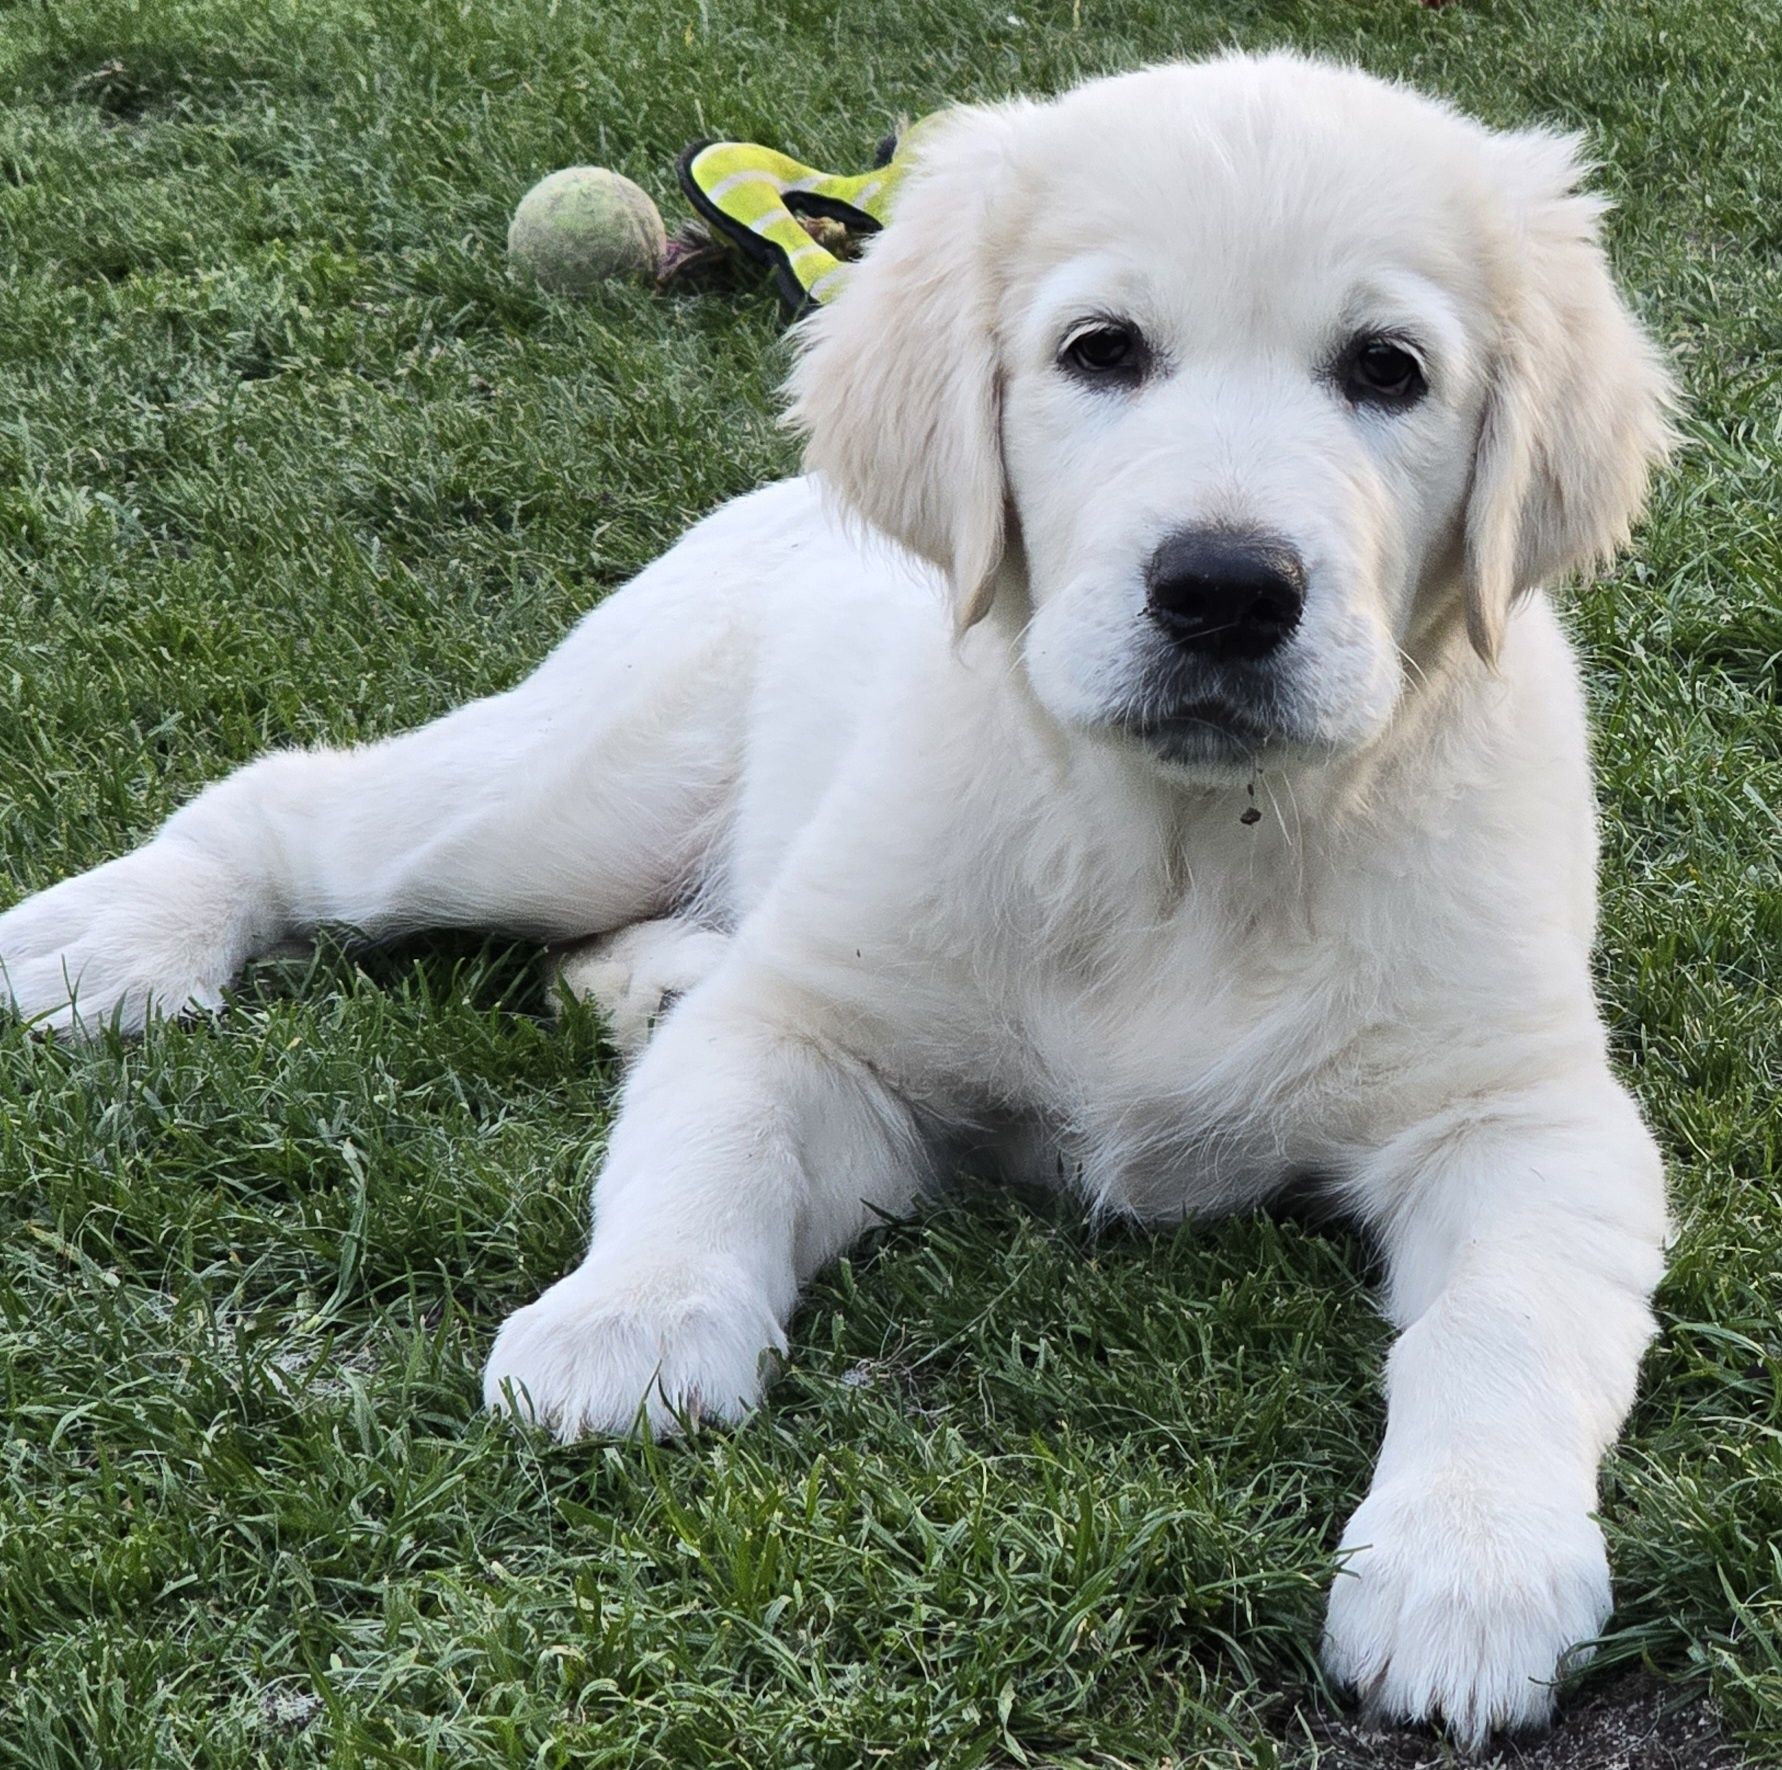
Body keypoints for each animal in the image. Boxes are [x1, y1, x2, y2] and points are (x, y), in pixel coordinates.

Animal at [3, 51, 1667, 1739]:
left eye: (1387, 370)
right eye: (1100, 351)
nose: (1221, 589)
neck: (1185, 843)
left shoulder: (1521, 1114)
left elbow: (1507, 1315)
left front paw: (1471, 1562)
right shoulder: (818, 1026)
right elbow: (713, 1144)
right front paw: (628, 1321)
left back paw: (650, 981)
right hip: (569, 796)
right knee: (310, 803)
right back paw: (111, 938)